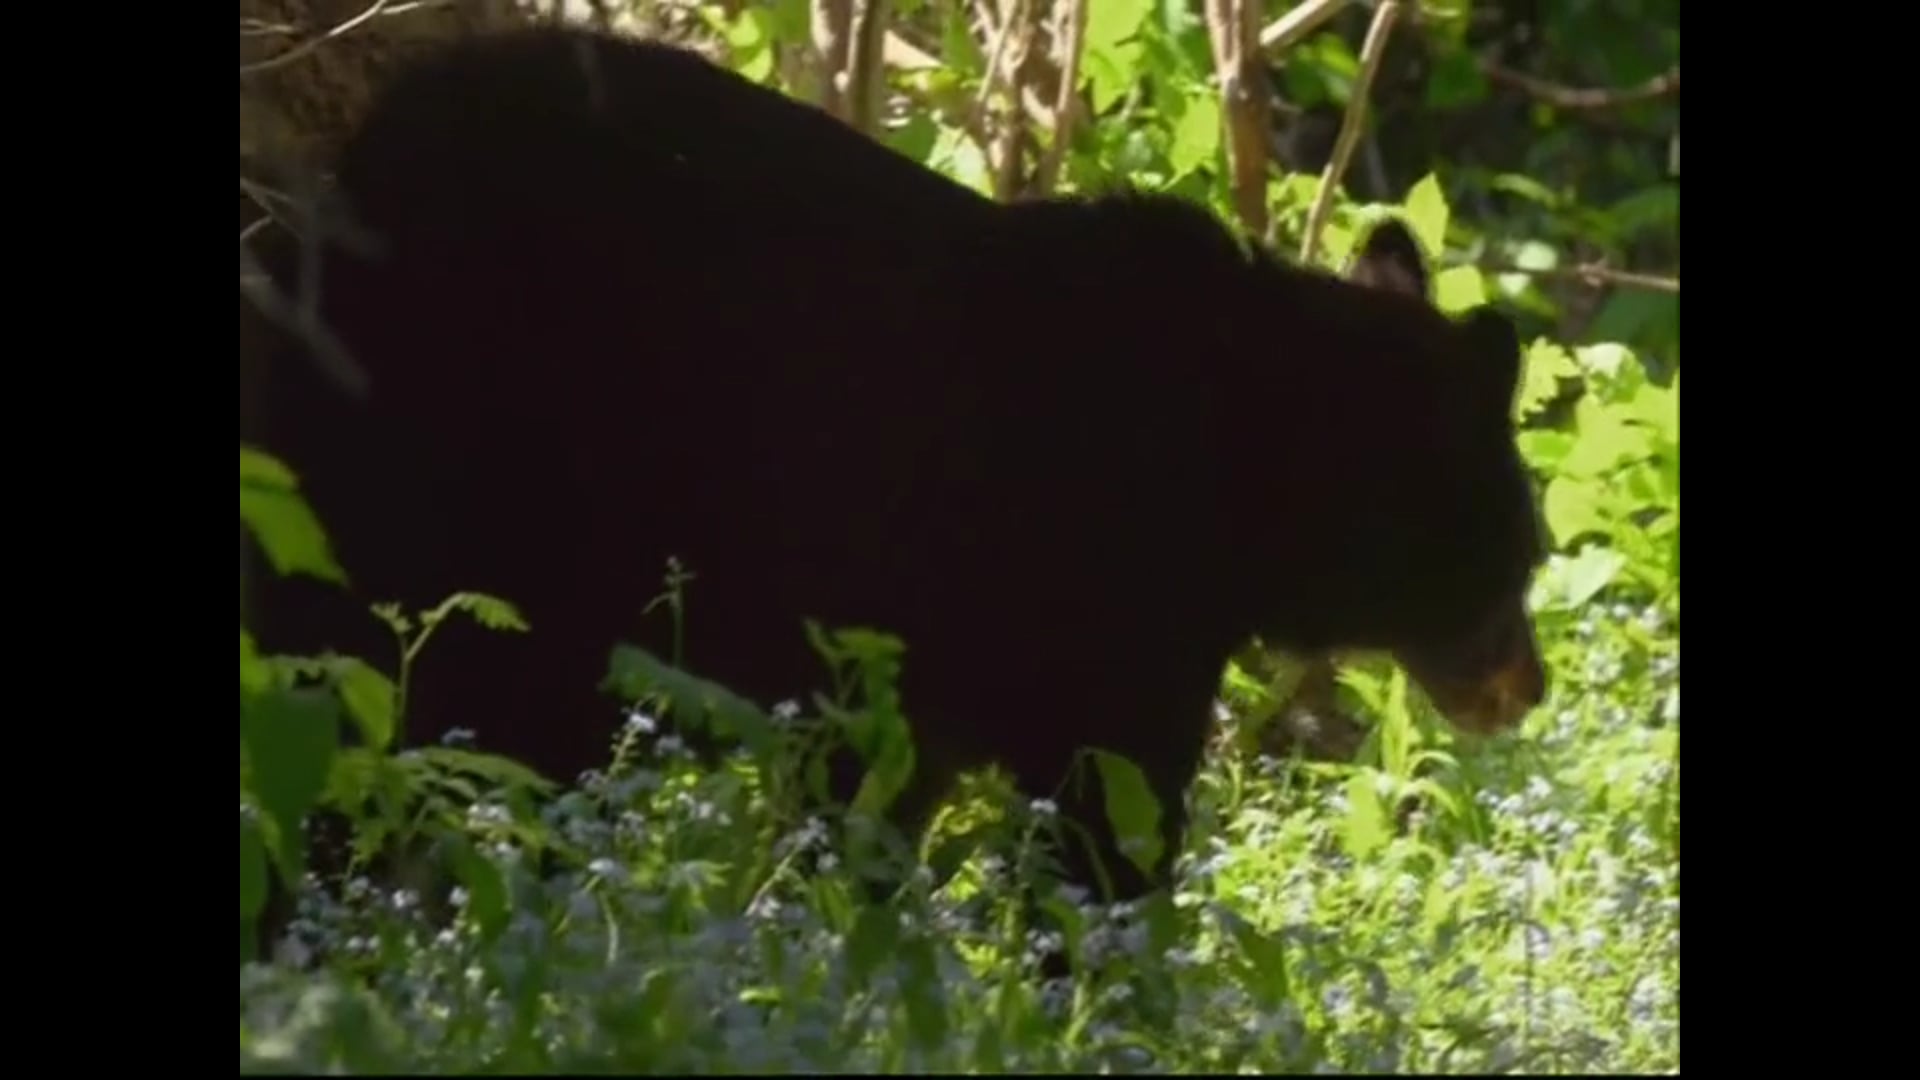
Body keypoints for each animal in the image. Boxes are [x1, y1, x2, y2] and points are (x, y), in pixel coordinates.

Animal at [243, 27, 1543, 907]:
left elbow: (875, 811)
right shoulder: (1106, 601)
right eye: (1524, 552)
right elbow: (1107, 818)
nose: (1528, 686)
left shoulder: (917, 677)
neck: (1250, 467)